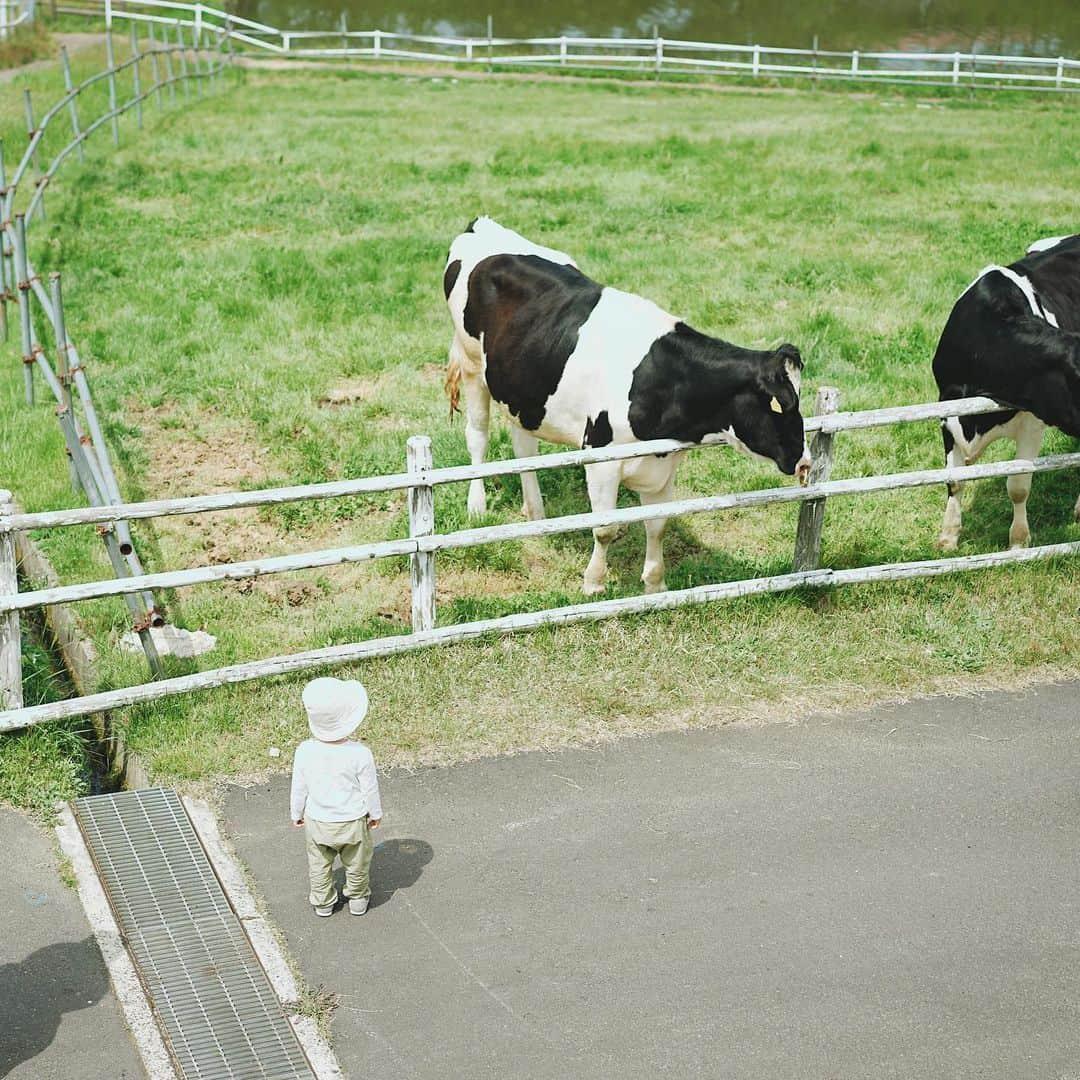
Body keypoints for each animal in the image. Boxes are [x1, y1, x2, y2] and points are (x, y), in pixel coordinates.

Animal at [440, 214, 812, 596]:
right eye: (781, 405)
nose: (804, 461)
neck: (661, 378)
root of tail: (483, 225)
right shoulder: (600, 458)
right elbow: (603, 529)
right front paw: (594, 584)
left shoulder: (663, 463)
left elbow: (657, 524)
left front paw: (655, 585)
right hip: (472, 363)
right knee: (478, 435)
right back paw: (477, 506)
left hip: (522, 386)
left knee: (524, 446)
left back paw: (536, 514)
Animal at [933, 231, 1080, 544]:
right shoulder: (946, 412)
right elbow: (954, 480)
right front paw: (948, 536)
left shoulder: (1033, 422)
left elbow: (1018, 486)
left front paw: (1018, 541)